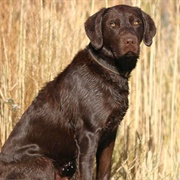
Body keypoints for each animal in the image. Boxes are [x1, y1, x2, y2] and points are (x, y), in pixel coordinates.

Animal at [0, 4, 156, 180]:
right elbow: (87, 172)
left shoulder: (110, 135)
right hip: (43, 163)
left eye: (136, 22)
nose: (130, 41)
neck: (109, 71)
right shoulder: (88, 134)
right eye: (113, 24)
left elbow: (104, 171)